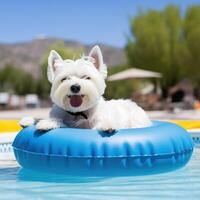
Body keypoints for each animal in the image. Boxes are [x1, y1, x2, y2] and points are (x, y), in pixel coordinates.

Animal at [20, 46, 152, 132]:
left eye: (86, 77)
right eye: (64, 79)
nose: (75, 87)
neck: (78, 112)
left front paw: (107, 125)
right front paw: (41, 121)